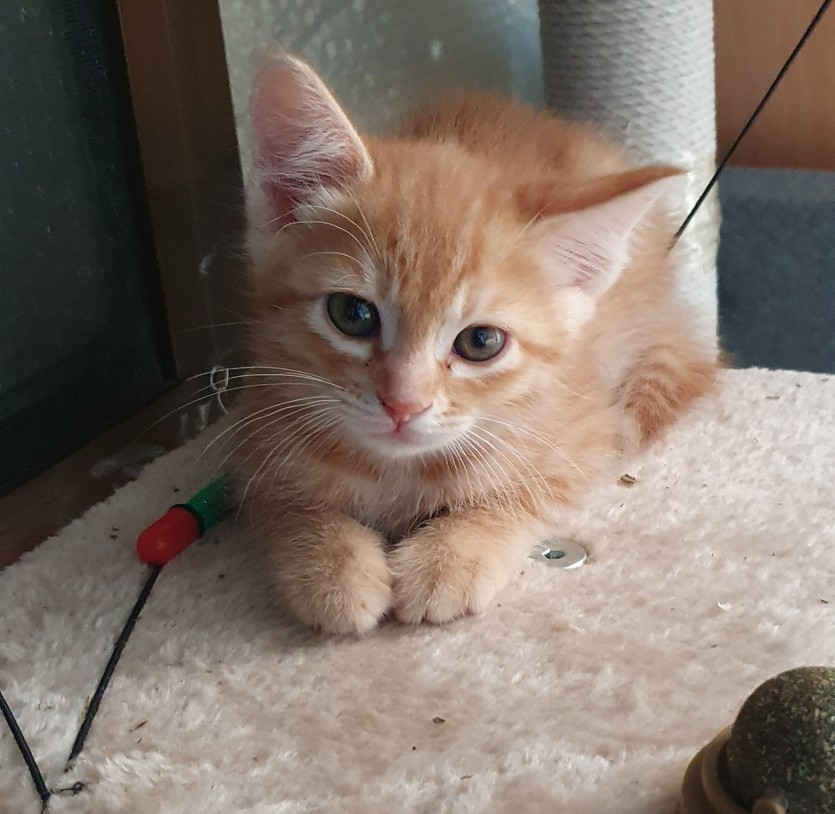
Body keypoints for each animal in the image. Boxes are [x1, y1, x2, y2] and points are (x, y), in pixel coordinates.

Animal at [230, 53, 717, 634]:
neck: (398, 469)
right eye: (352, 315)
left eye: (480, 342)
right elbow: (282, 504)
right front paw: (332, 567)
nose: (402, 405)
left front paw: (454, 556)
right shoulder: (254, 426)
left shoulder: (582, 433)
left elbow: (525, 493)